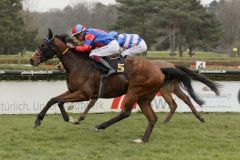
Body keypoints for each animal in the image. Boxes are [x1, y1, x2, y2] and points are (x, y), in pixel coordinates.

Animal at [29, 29, 203, 144]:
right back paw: (143, 139)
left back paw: (99, 126)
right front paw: (38, 121)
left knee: (126, 112)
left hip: (135, 91)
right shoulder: (73, 90)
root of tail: (159, 69)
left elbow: (60, 102)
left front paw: (71, 119)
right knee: (152, 117)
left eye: (43, 45)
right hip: (144, 97)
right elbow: (53, 100)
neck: (78, 65)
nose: (32, 60)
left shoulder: (84, 93)